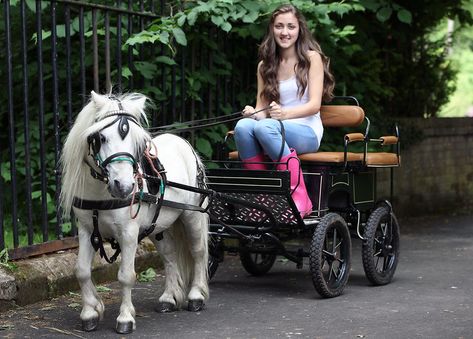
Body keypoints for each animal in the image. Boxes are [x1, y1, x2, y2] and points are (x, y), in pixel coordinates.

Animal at [59, 91, 208, 336]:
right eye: (101, 138)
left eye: (137, 143)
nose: (125, 186)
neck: (101, 193)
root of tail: (184, 143)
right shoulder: (87, 230)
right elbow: (81, 270)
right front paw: (91, 312)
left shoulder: (128, 232)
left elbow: (126, 276)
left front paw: (125, 318)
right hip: (159, 228)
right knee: (169, 256)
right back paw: (168, 298)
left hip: (191, 216)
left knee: (198, 252)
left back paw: (196, 295)